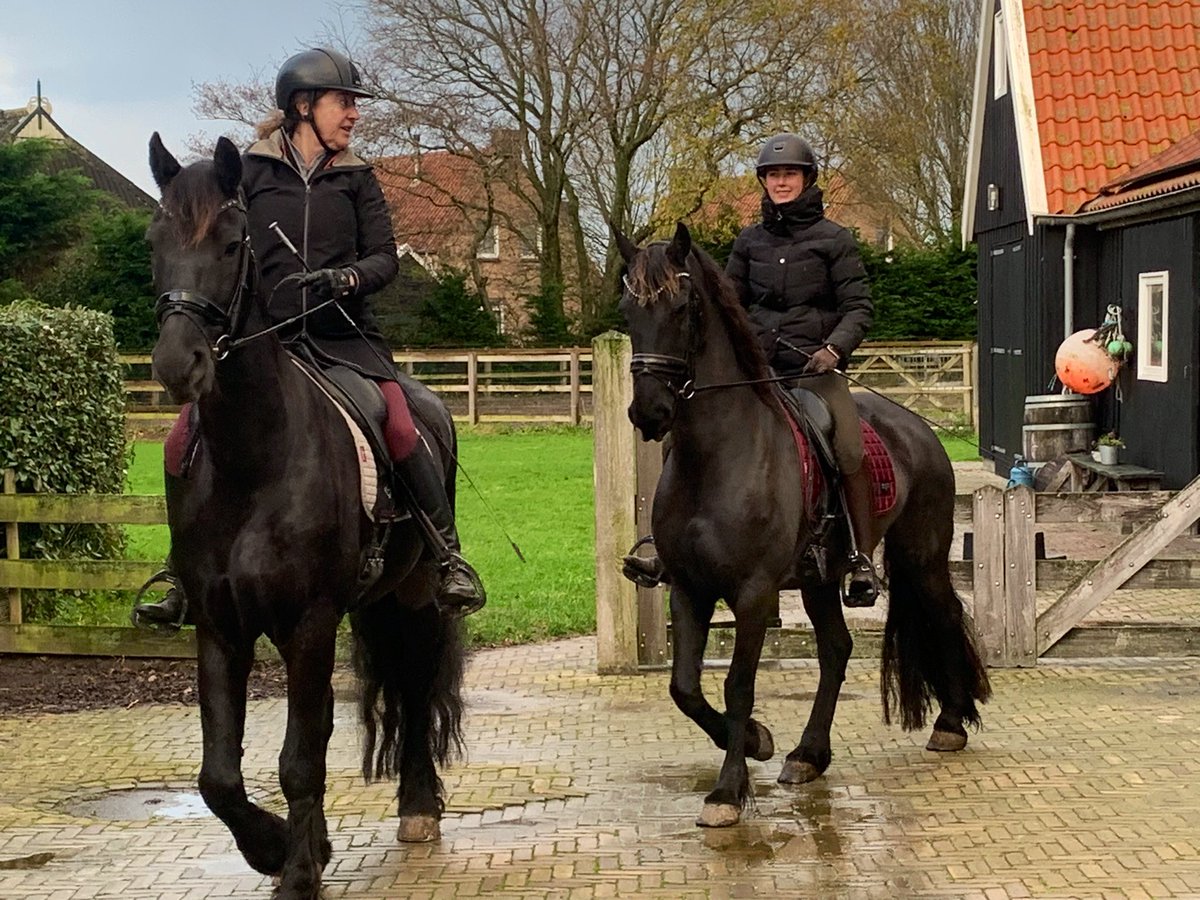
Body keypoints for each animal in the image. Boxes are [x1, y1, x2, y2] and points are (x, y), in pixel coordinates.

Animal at [147, 135, 465, 900]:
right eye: (154, 239)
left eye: (233, 242)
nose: (177, 363)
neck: (252, 461)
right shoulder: (220, 627)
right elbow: (220, 774)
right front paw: (281, 849)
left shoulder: (309, 621)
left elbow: (297, 758)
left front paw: (292, 870)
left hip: (413, 597)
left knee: (413, 691)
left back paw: (417, 805)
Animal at [614, 225, 988, 830]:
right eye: (628, 311)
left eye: (683, 307)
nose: (649, 412)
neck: (715, 459)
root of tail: (918, 427)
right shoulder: (688, 588)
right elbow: (685, 688)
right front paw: (757, 741)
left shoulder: (753, 593)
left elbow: (738, 684)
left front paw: (727, 791)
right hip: (820, 579)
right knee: (836, 649)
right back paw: (809, 755)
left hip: (921, 556)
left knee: (944, 614)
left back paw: (950, 724)